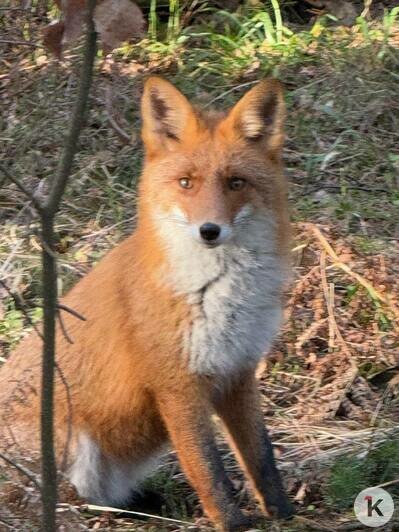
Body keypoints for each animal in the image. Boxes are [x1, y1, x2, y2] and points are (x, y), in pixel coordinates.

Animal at [0, 77, 294, 528]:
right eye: (186, 183)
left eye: (236, 182)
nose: (210, 231)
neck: (219, 291)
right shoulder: (176, 384)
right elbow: (207, 467)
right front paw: (232, 523)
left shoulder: (239, 371)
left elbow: (261, 457)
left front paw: (284, 513)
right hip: (70, 441)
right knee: (58, 498)